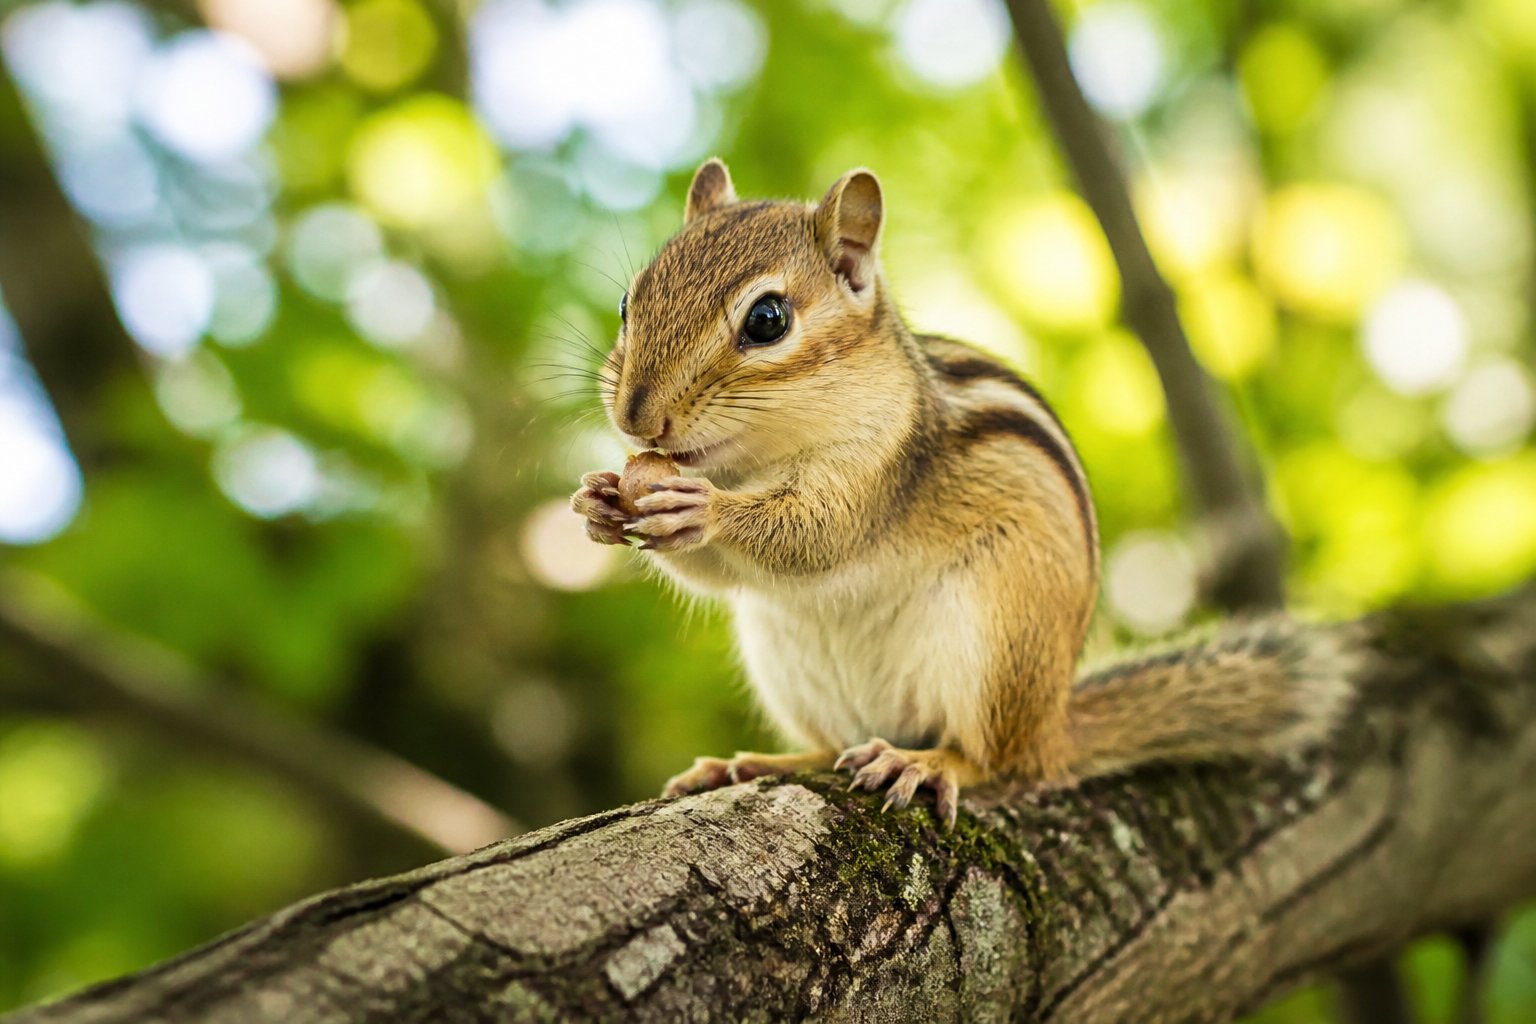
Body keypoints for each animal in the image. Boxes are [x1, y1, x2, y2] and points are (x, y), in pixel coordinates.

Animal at [571, 159, 1357, 825]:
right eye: (628, 301)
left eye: (768, 319)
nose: (635, 417)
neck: (754, 458)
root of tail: (1052, 726)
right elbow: (713, 574)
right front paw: (598, 501)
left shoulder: (881, 464)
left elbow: (814, 536)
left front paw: (701, 508)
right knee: (833, 745)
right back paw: (756, 764)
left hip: (996, 642)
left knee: (997, 763)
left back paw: (926, 762)